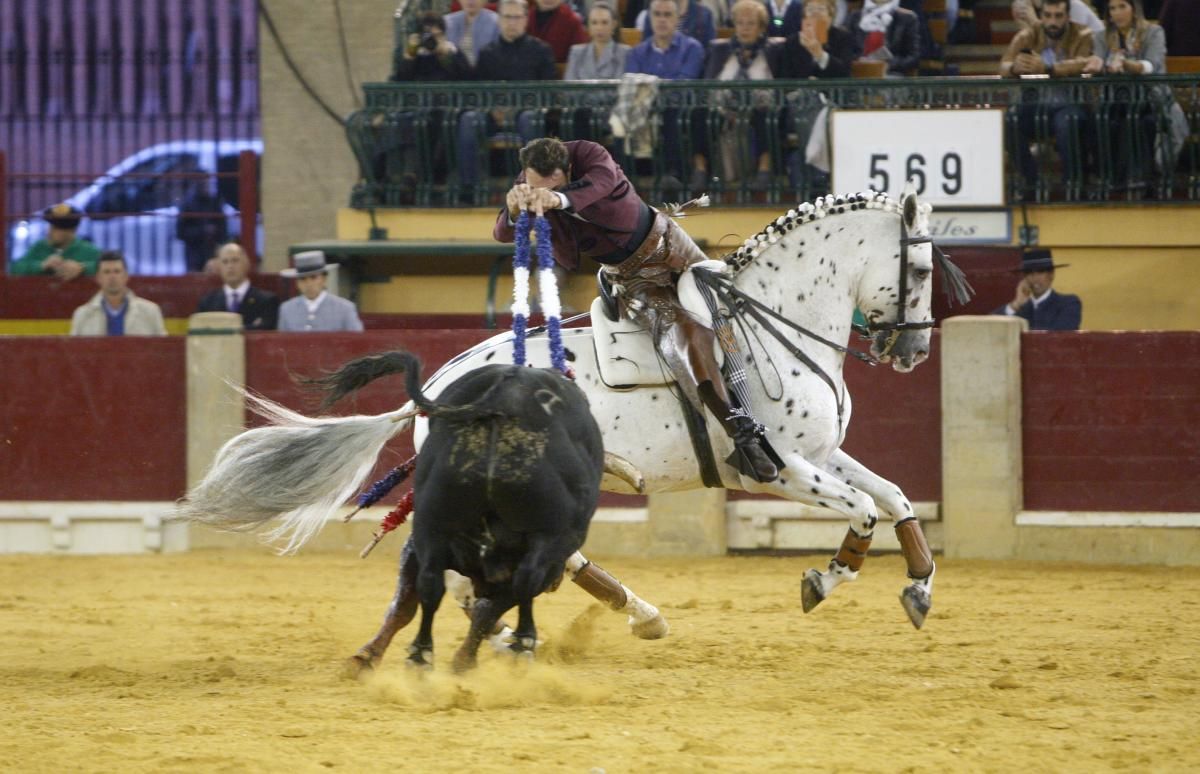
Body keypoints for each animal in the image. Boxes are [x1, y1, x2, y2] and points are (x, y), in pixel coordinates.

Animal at [350, 350, 604, 672]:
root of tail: (506, 396)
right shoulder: (550, 559)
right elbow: (491, 607)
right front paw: (467, 659)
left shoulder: (423, 543)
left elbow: (415, 599)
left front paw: (366, 657)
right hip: (552, 538)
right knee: (526, 579)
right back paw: (522, 644)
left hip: (431, 522)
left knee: (430, 584)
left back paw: (420, 656)